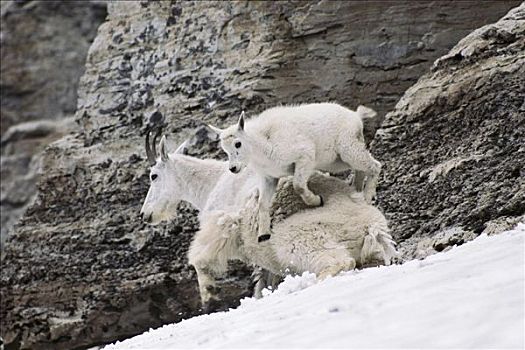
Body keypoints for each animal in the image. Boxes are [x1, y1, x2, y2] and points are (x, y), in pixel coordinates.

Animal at [209, 102, 380, 241]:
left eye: (237, 143)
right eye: (224, 149)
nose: (233, 168)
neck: (263, 143)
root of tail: (356, 116)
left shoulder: (305, 156)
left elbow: (298, 185)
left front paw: (317, 200)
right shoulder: (269, 177)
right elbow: (262, 203)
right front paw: (263, 234)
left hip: (348, 148)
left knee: (375, 165)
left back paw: (367, 196)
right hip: (337, 161)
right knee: (360, 169)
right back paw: (356, 191)